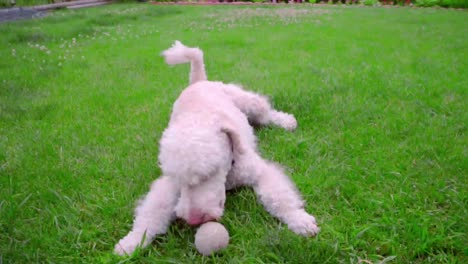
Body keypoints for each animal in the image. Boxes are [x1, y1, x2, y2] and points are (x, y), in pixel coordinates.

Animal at [114, 41, 318, 256]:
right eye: (180, 181)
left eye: (208, 174)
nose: (193, 220)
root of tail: (198, 82)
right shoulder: (167, 185)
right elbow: (152, 211)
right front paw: (133, 241)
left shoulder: (259, 171)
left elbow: (280, 197)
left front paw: (300, 221)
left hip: (246, 100)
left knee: (266, 113)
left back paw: (286, 122)